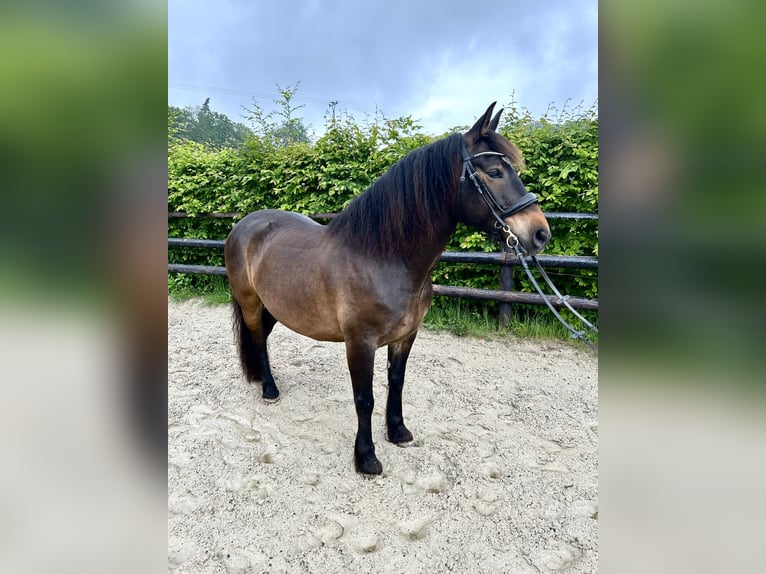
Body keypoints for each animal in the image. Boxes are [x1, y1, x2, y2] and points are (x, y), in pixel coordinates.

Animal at [224, 103, 552, 476]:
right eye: (495, 171)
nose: (540, 233)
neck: (382, 257)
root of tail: (244, 225)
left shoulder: (405, 337)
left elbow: (396, 382)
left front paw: (398, 431)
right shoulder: (359, 343)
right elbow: (364, 398)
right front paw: (366, 457)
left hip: (275, 306)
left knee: (262, 339)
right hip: (250, 302)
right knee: (257, 339)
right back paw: (269, 389)